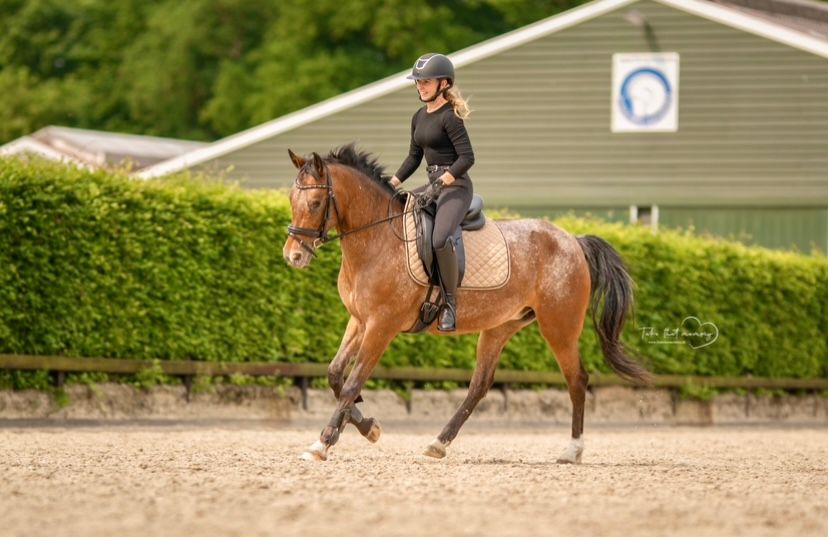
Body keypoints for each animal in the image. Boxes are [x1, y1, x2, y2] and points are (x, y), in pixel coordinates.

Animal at [283, 144, 650, 463]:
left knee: (577, 379)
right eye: (290, 199)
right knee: (480, 385)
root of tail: (573, 240)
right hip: (501, 327)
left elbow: (352, 383)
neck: (377, 240)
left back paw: (572, 450)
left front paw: (323, 442)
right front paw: (368, 427)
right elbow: (334, 375)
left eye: (315, 202)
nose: (293, 256)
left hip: (559, 327)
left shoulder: (381, 326)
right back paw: (438, 443)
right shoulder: (359, 320)